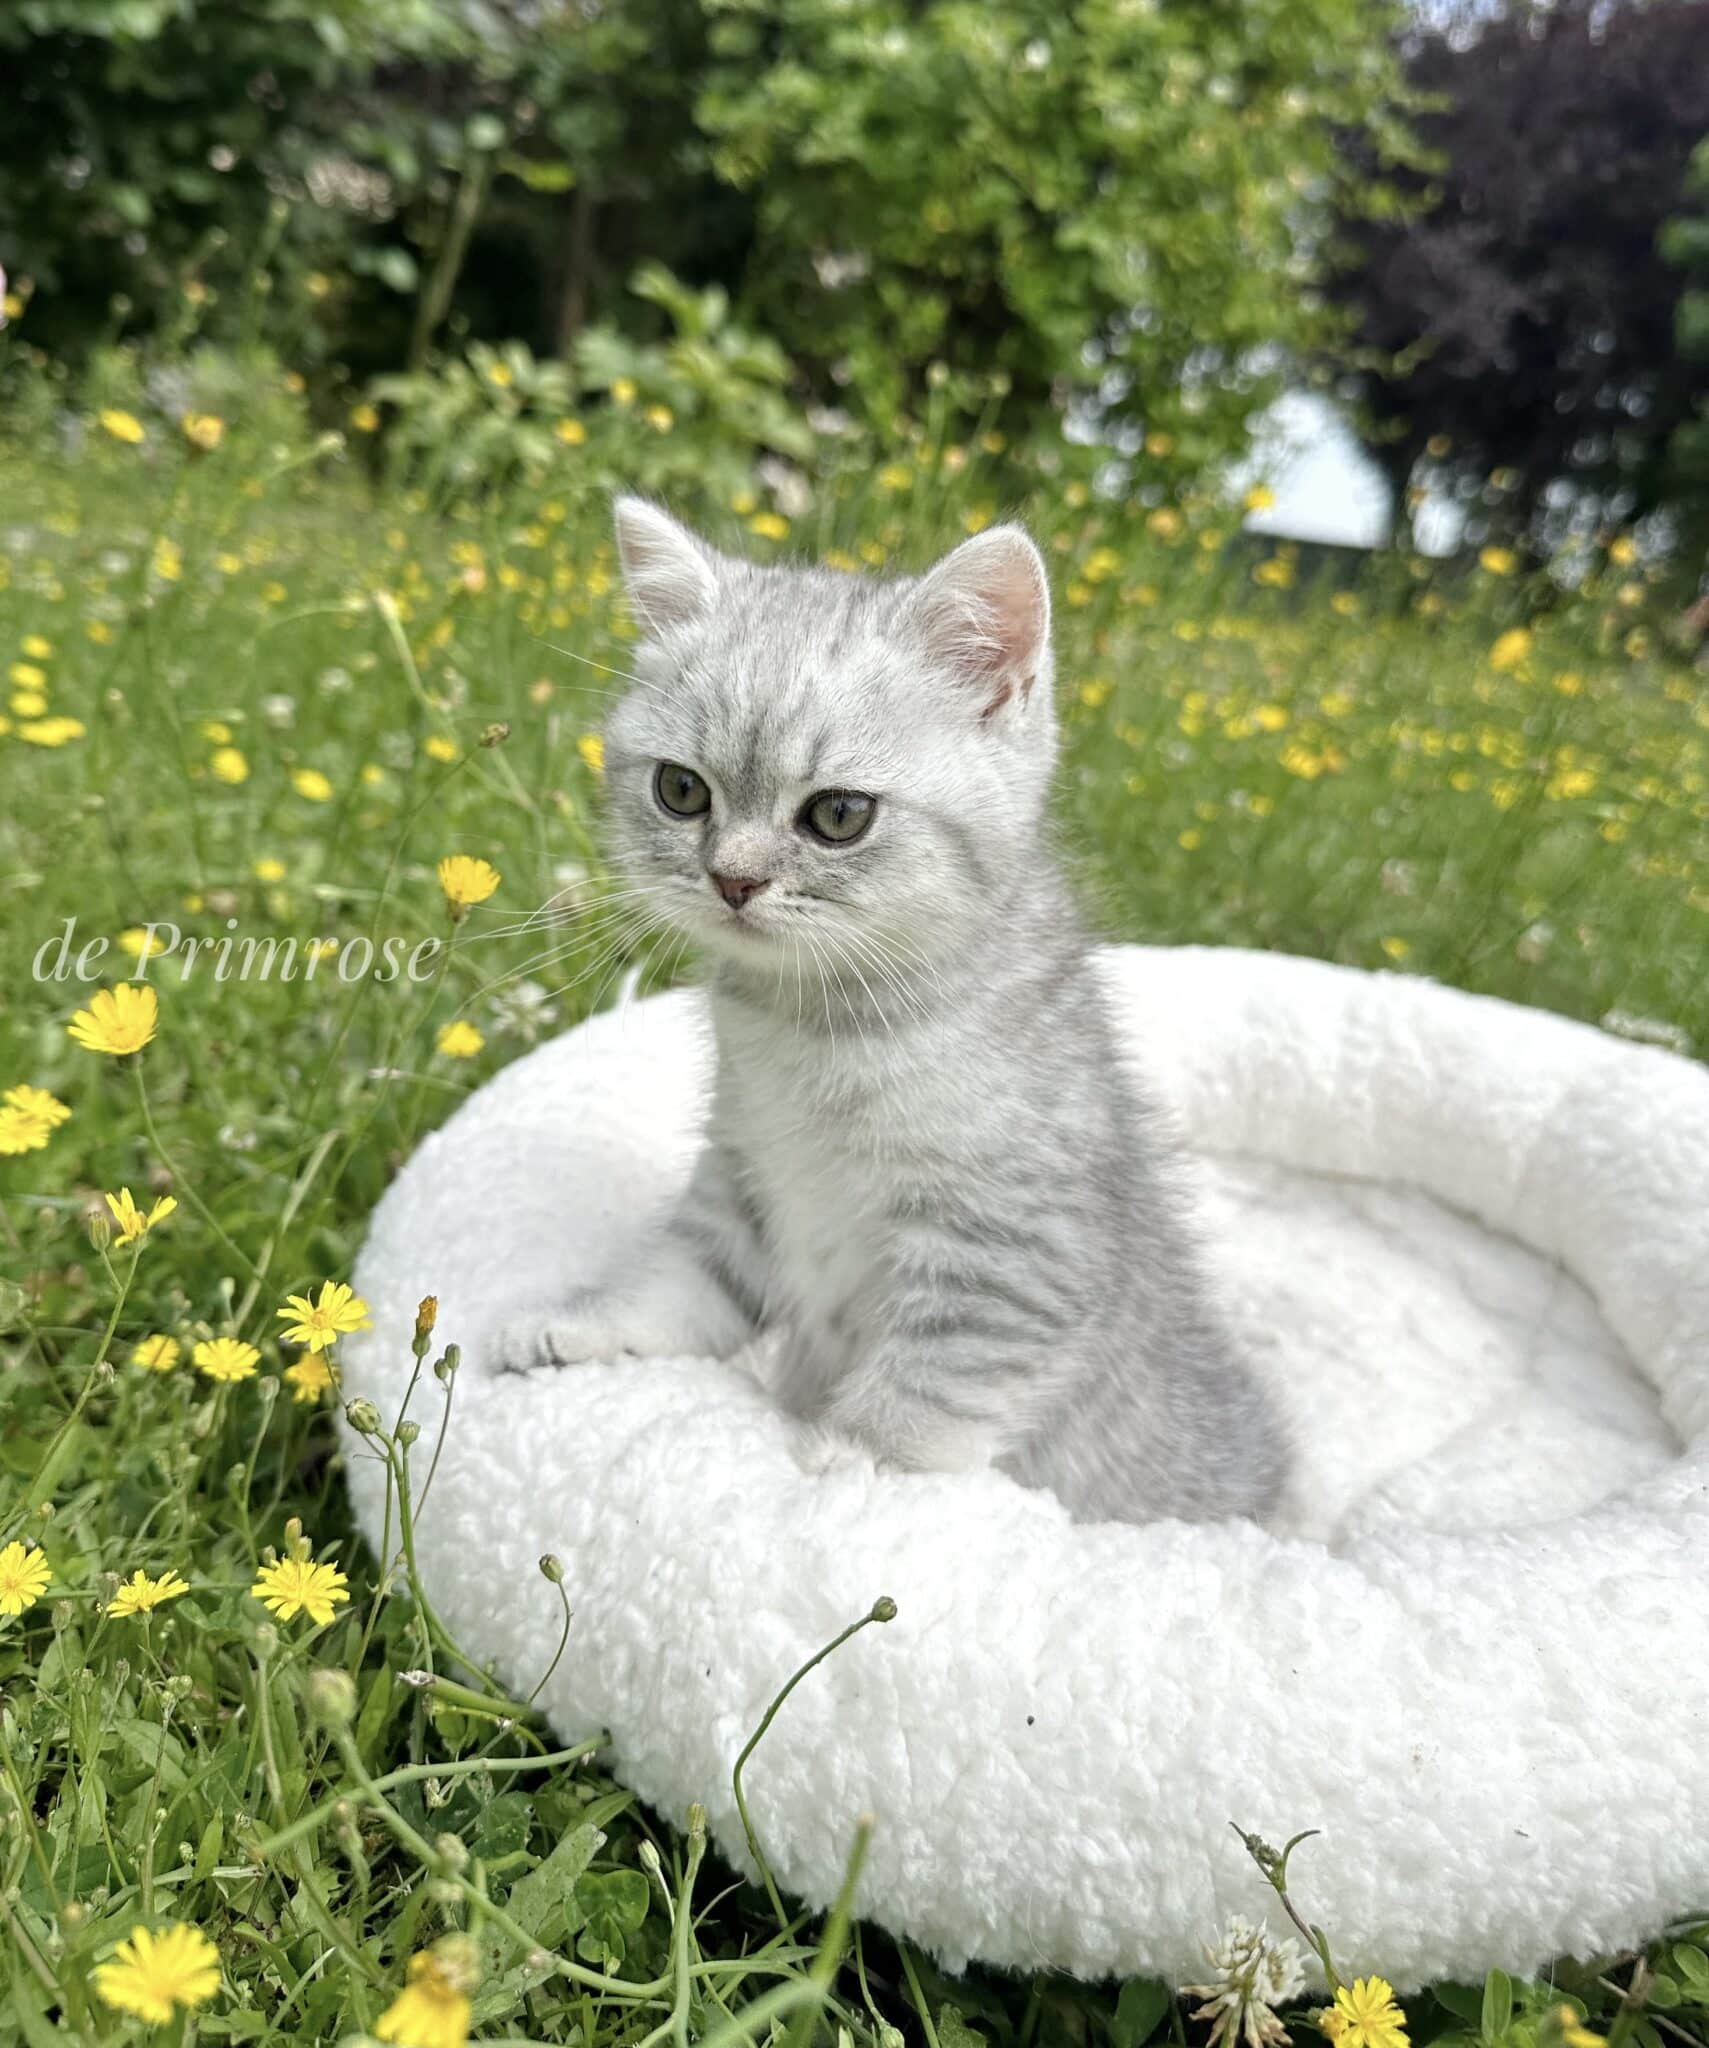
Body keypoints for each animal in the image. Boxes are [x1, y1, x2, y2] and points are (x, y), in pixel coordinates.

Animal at [485, 495, 1286, 1523]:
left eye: (837, 815)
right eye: (680, 790)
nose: (732, 879)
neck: (811, 1028)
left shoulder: (1016, 1259)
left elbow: (932, 1381)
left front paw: (849, 1465)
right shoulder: (743, 1190)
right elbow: (679, 1282)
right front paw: (585, 1324)